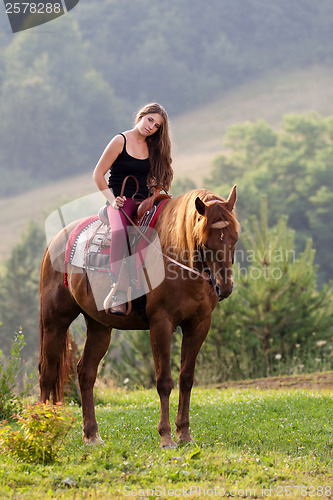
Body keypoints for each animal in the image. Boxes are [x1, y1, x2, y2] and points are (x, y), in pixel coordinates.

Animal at [39, 186, 239, 448]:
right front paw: (166, 436)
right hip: (55, 321)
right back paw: (40, 431)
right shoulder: (161, 324)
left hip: (100, 326)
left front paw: (184, 434)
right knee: (47, 373)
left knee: (86, 373)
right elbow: (164, 381)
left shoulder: (198, 325)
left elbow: (186, 378)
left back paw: (92, 435)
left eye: (234, 238)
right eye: (205, 242)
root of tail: (57, 240)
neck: (175, 254)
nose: (224, 288)